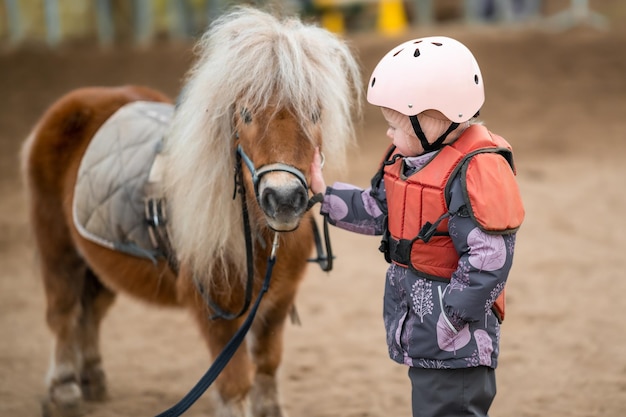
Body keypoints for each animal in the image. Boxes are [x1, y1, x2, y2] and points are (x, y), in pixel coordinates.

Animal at [22, 7, 360, 416]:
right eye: (246, 114)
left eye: (313, 113)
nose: (283, 199)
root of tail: (75, 103)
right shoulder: (214, 311)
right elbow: (234, 384)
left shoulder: (277, 304)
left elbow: (267, 365)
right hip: (57, 246)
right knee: (63, 313)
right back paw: (65, 390)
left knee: (91, 311)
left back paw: (93, 380)